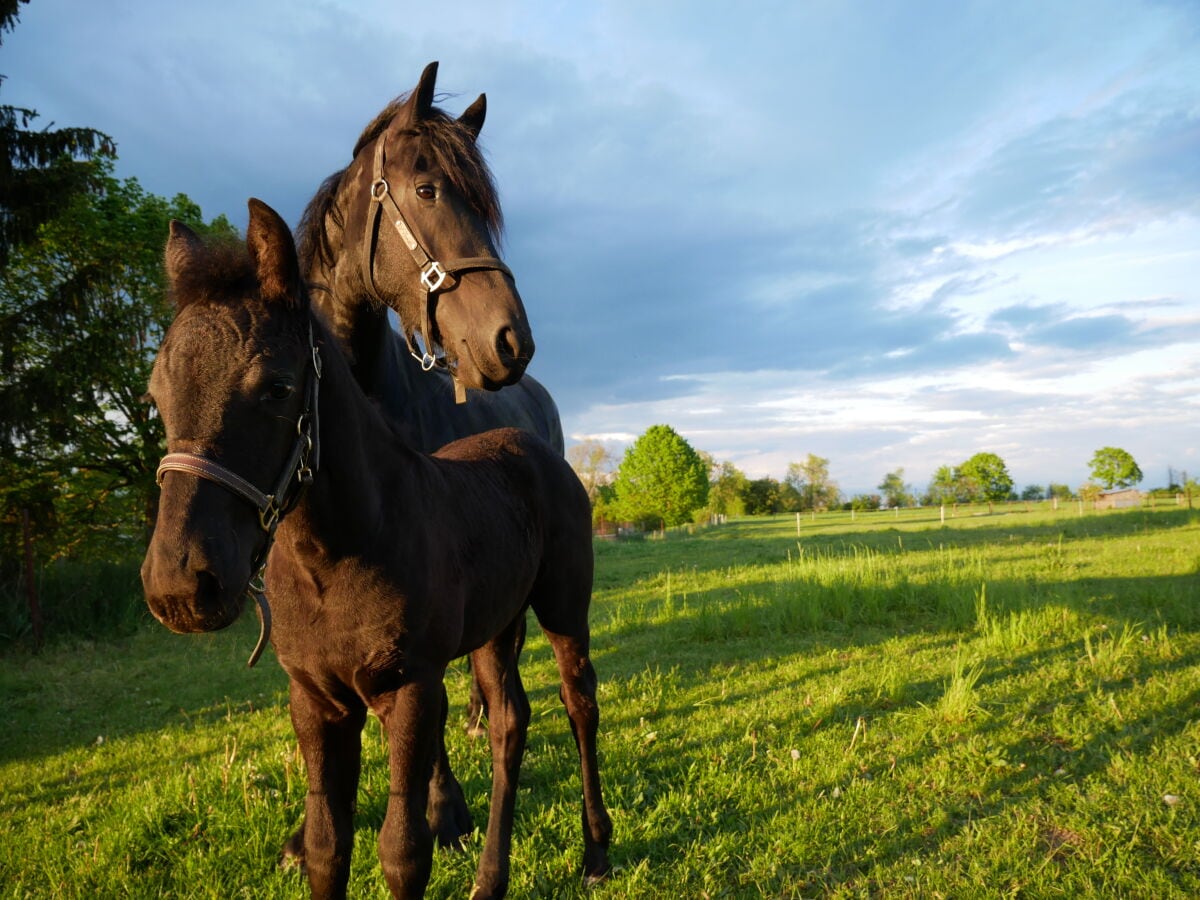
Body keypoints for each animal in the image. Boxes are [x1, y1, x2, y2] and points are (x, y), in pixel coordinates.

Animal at [140, 199, 609, 900]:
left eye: (277, 386)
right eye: (156, 392)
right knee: (509, 722)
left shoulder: (410, 689)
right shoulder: (316, 702)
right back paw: (490, 878)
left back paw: (597, 850)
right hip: (495, 627)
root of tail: (536, 448)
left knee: (580, 704)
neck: (331, 564)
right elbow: (327, 846)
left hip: (563, 608)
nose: (180, 586)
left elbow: (402, 850)